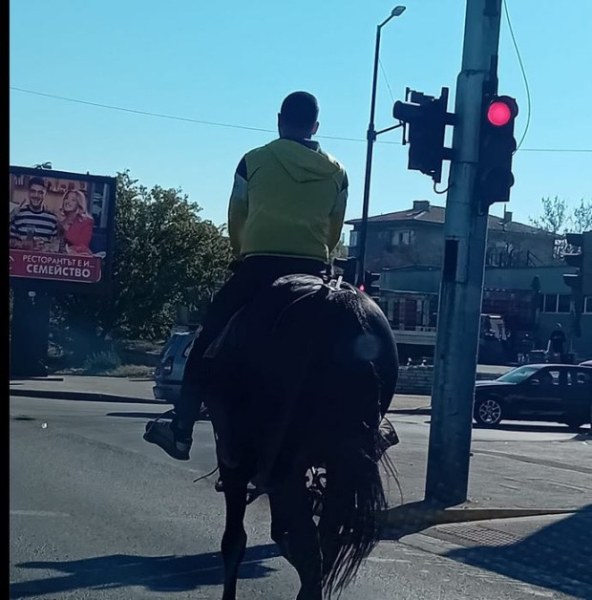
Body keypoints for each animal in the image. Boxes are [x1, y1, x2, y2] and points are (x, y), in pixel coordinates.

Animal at [197, 274, 400, 600]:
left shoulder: (235, 461)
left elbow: (235, 540)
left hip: (278, 463)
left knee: (309, 547)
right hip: (338, 466)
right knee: (323, 542)